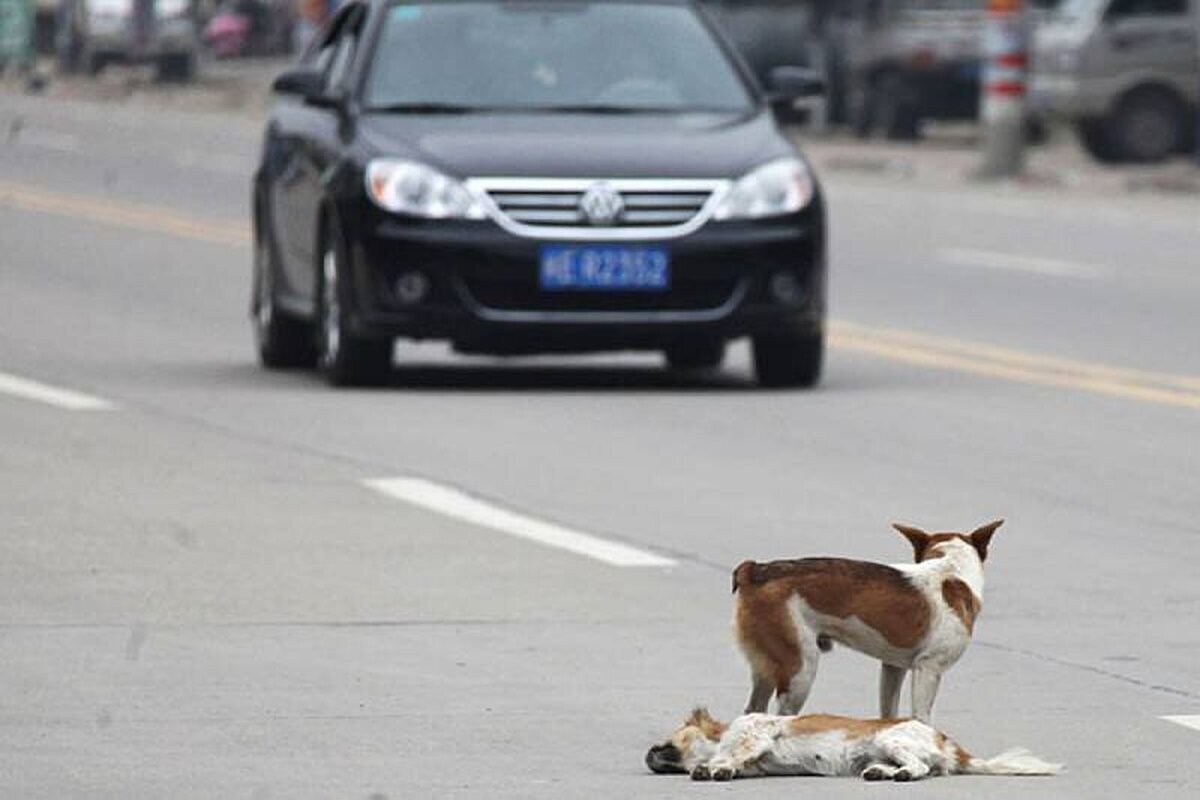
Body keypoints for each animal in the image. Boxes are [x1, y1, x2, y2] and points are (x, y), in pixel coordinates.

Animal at [729, 515, 1003, 724]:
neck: (950, 570)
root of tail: (755, 571)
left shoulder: (893, 668)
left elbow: (888, 712)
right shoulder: (928, 668)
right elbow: (921, 718)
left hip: (767, 667)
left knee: (753, 710)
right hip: (800, 669)